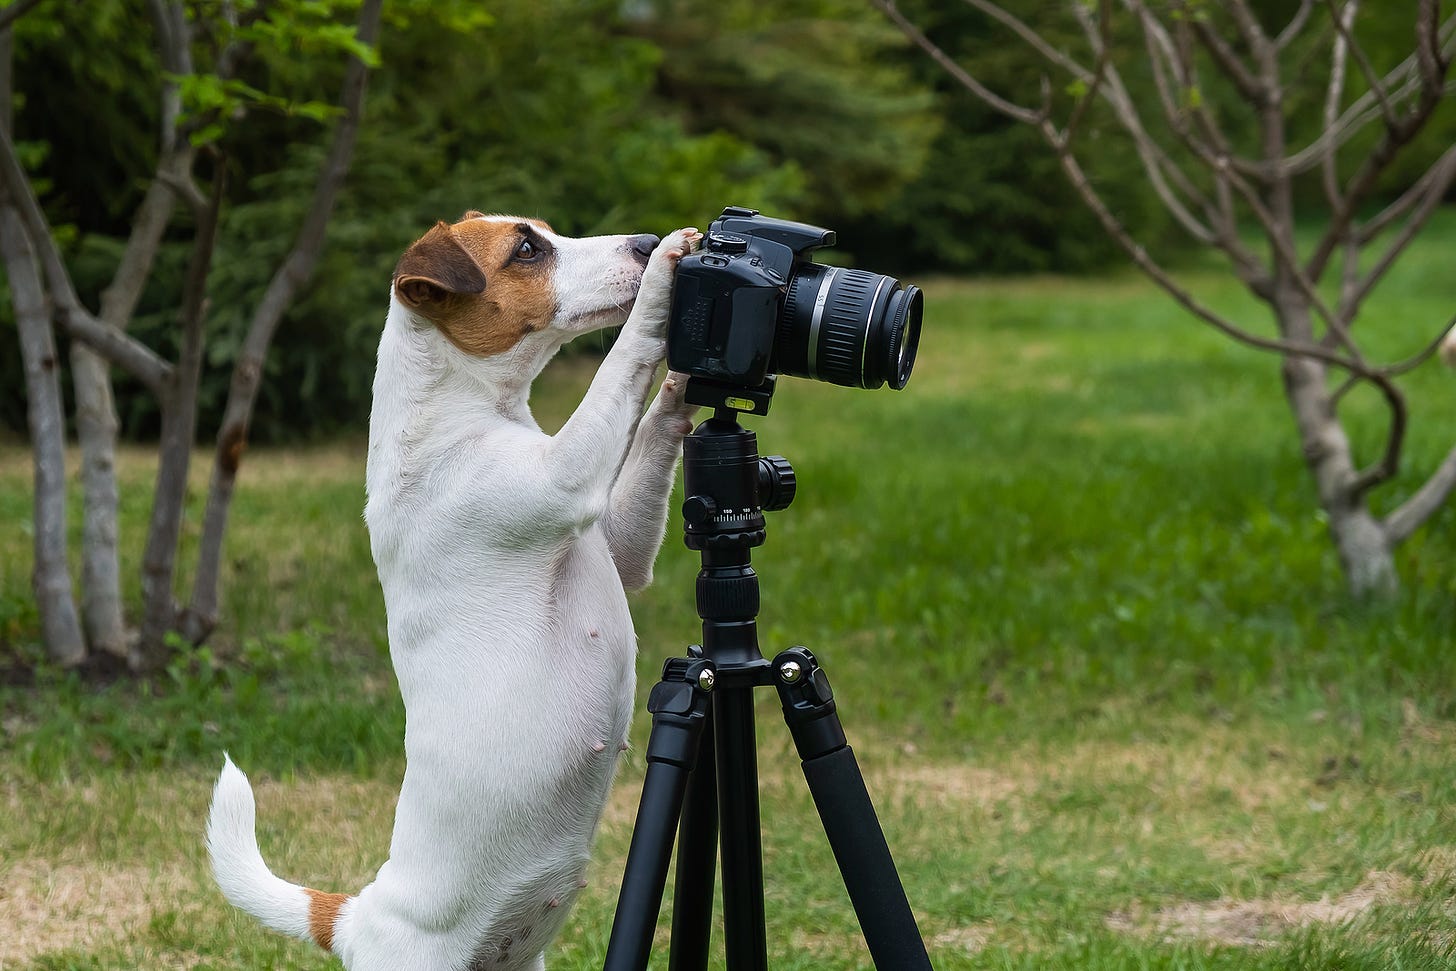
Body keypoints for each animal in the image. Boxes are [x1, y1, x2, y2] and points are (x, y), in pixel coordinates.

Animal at [208, 213, 701, 971]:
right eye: (527, 248)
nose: (644, 244)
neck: (455, 413)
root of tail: (352, 918)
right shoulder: (566, 475)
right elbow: (621, 363)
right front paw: (666, 280)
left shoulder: (619, 546)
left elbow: (648, 430)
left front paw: (682, 380)